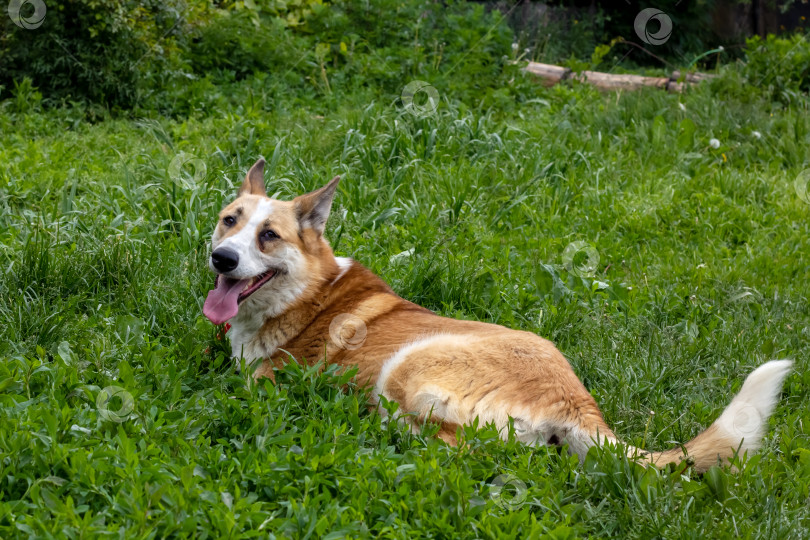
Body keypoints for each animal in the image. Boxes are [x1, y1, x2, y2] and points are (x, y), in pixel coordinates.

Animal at [202, 158, 788, 470]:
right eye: (229, 221)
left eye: (269, 235)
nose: (222, 258)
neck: (306, 291)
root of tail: (574, 399)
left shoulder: (262, 378)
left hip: (406, 367)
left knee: (452, 448)